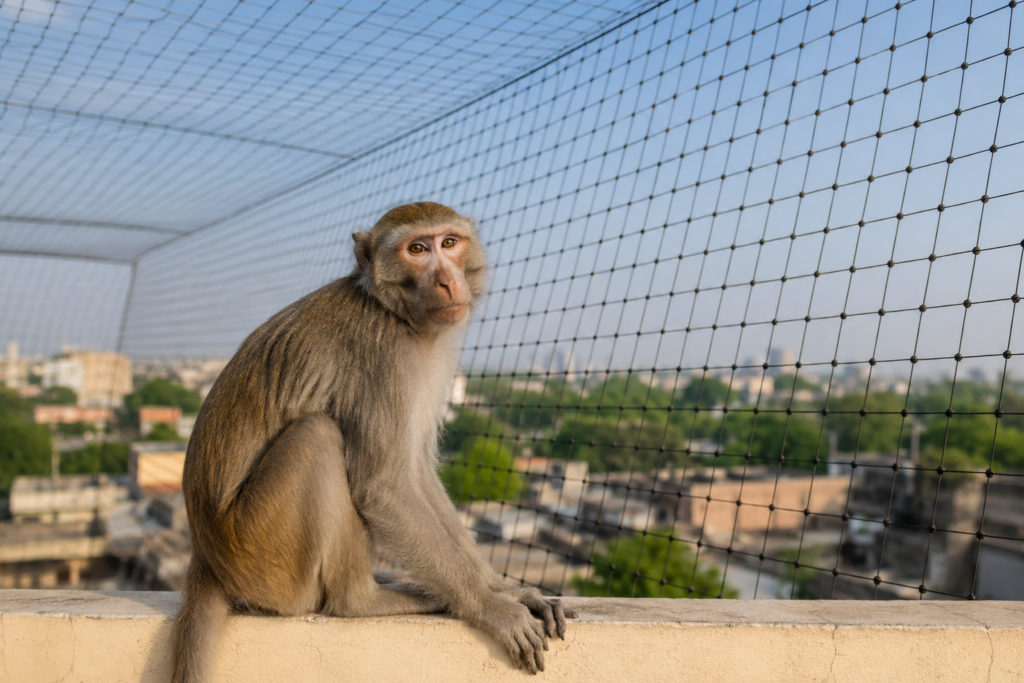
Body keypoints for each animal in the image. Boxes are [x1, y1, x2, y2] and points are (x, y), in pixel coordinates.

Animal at [171, 202, 577, 682]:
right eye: (417, 249)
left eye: (450, 243)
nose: (447, 280)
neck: (395, 312)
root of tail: (207, 558)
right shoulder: (382, 358)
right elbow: (385, 487)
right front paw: (488, 606)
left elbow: (416, 474)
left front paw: (503, 589)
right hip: (262, 553)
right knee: (319, 436)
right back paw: (364, 600)